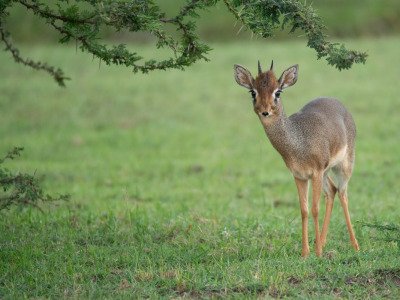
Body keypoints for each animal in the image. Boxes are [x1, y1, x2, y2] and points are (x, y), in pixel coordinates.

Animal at [234, 59, 360, 256]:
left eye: (278, 91)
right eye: (253, 91)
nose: (264, 111)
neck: (298, 142)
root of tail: (338, 104)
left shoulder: (315, 173)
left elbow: (315, 209)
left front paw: (318, 253)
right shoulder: (300, 176)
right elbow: (304, 210)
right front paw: (305, 253)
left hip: (344, 166)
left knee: (342, 193)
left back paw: (355, 246)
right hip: (325, 173)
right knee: (332, 191)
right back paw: (323, 241)